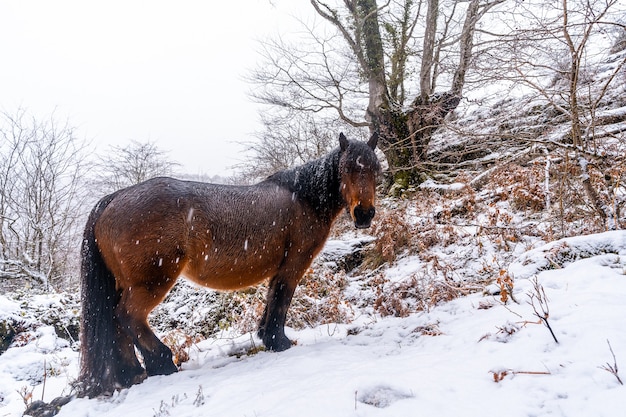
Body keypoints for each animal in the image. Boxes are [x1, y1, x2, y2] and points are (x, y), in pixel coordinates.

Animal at [78, 132, 380, 394]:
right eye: (347, 168)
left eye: (375, 169)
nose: (364, 214)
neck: (303, 198)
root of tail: (114, 199)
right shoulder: (293, 266)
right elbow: (281, 301)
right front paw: (280, 342)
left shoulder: (279, 270)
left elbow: (272, 301)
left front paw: (268, 338)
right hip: (151, 281)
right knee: (128, 316)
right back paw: (162, 363)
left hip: (123, 284)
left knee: (118, 325)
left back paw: (133, 373)